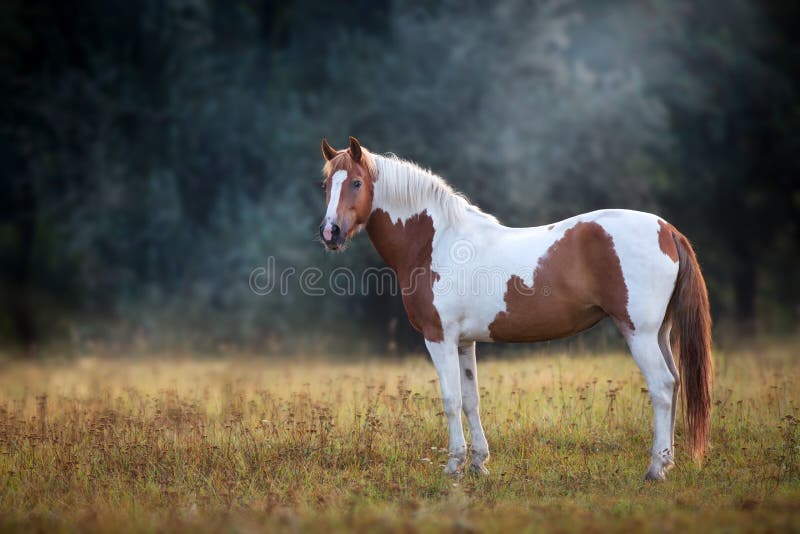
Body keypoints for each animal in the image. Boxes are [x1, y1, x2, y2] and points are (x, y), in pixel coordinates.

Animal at [318, 137, 712, 482]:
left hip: (639, 332)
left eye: (356, 182)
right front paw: (478, 464)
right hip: (660, 332)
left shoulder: (439, 338)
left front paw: (453, 466)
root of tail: (666, 229)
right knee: (676, 382)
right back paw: (668, 462)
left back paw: (655, 469)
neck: (436, 242)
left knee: (662, 386)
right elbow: (471, 399)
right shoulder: (464, 342)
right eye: (325, 184)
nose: (330, 232)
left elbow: (450, 399)